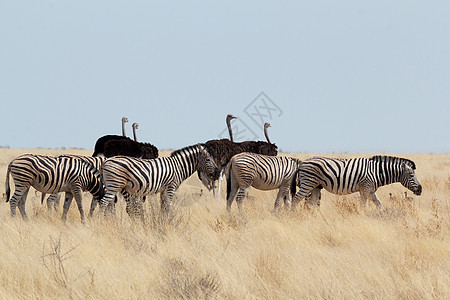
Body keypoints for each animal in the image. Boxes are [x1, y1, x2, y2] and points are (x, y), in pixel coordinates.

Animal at [292, 155, 422, 209]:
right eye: (411, 175)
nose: (420, 190)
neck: (376, 171)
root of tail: (301, 163)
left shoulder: (371, 191)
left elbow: (379, 204)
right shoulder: (365, 188)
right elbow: (363, 205)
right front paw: (362, 216)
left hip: (316, 186)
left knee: (311, 203)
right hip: (308, 183)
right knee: (296, 199)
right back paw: (291, 215)